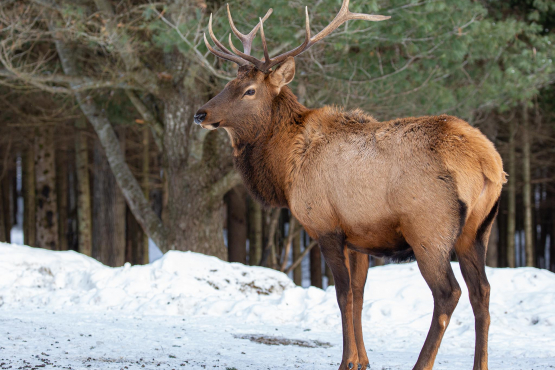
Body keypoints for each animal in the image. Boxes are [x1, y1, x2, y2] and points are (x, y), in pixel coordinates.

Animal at [197, 1, 508, 368]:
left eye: (249, 90)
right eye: (229, 82)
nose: (200, 114)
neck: (285, 170)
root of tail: (488, 163)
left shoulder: (325, 226)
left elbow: (343, 294)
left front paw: (346, 360)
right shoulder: (360, 236)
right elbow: (359, 294)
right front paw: (363, 360)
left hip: (429, 229)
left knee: (449, 293)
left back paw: (421, 362)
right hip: (478, 230)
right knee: (482, 292)